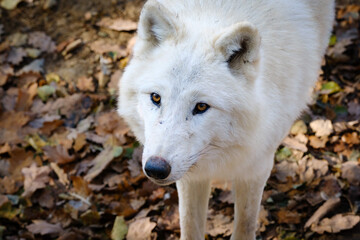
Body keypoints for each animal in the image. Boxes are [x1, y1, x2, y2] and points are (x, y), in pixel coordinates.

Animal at [118, 0, 334, 239]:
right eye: (156, 98)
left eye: (201, 106)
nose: (156, 168)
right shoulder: (191, 175)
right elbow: (190, 226)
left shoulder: (256, 166)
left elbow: (245, 224)